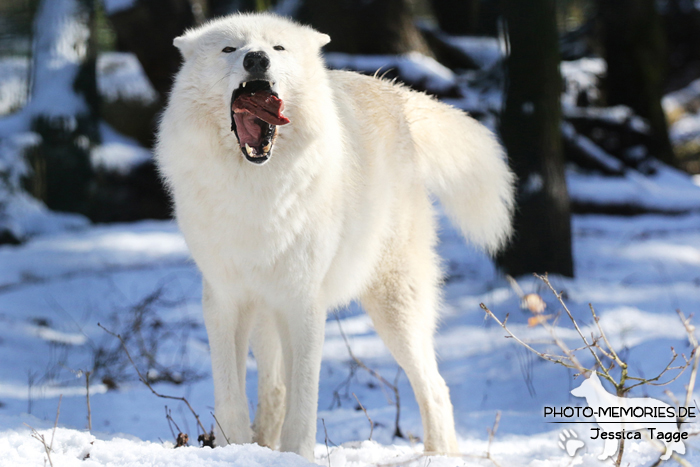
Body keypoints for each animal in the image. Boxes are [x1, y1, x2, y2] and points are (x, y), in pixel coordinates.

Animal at [156, 12, 516, 462]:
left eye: (278, 48)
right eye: (229, 49)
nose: (256, 59)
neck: (257, 192)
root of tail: (396, 94)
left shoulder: (303, 302)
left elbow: (304, 400)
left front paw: (296, 456)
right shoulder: (225, 299)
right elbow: (230, 395)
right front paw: (233, 449)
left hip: (395, 308)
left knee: (435, 386)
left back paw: (437, 455)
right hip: (269, 314)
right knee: (274, 389)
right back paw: (262, 445)